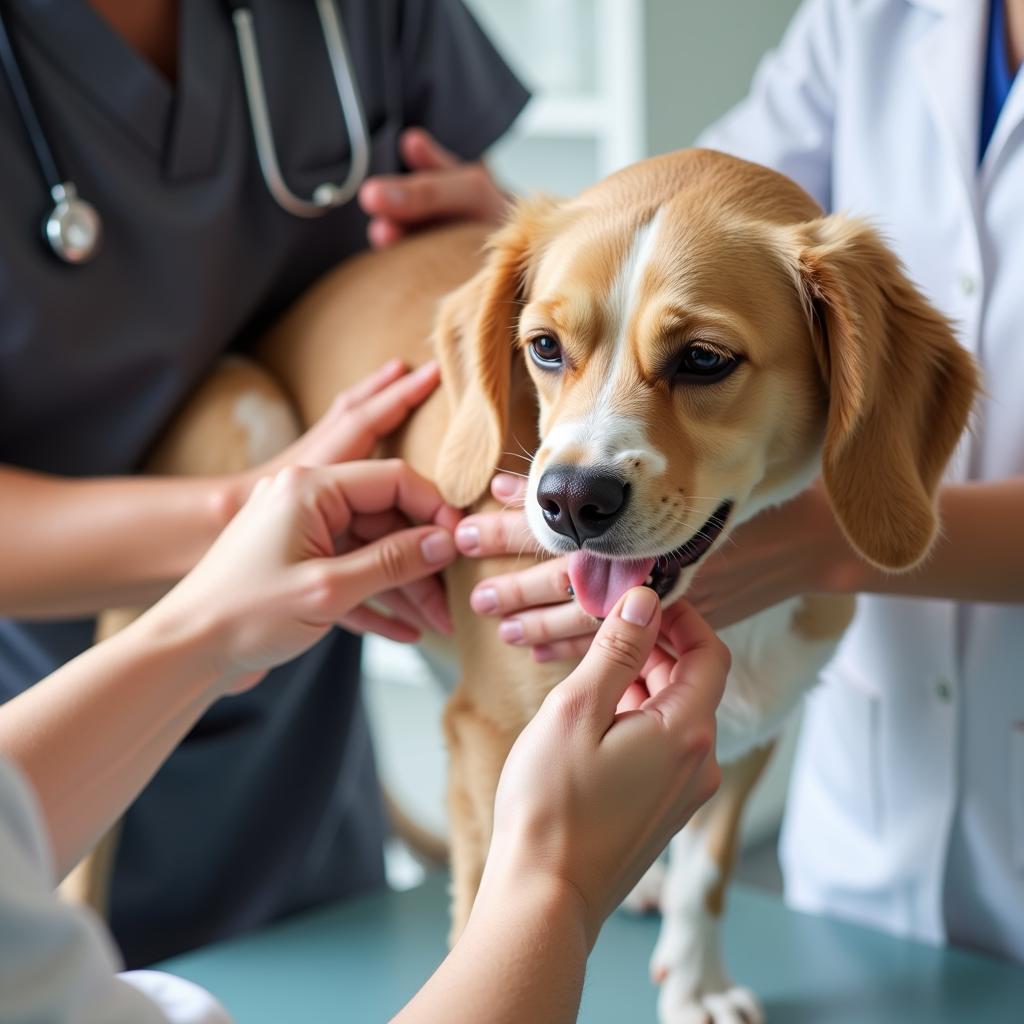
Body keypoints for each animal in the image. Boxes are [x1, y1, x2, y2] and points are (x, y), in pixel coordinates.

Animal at [83, 148, 978, 1019]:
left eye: (704, 360)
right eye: (545, 347)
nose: (571, 500)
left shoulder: (759, 724)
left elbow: (708, 878)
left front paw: (695, 985)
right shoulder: (489, 740)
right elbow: (493, 902)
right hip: (239, 459)